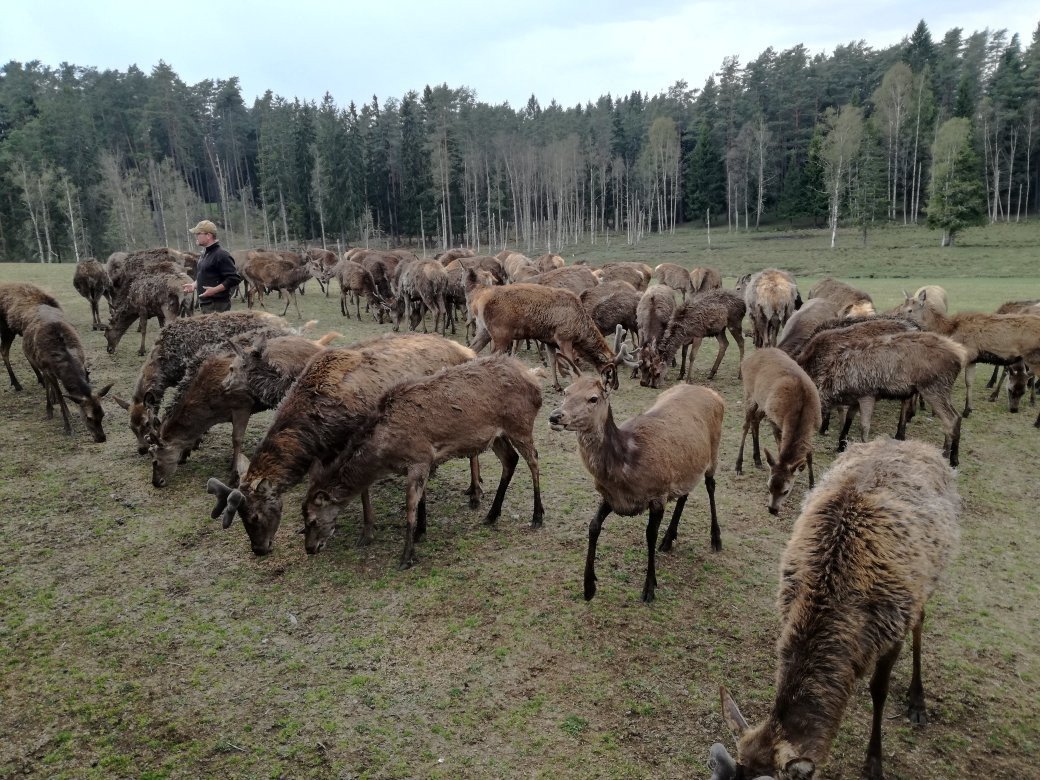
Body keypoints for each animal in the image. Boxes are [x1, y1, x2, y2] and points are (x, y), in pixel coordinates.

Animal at [301, 355, 544, 569]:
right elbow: (422, 499)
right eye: (303, 518)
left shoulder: (419, 458)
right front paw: (421, 532)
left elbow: (410, 505)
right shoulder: (423, 462)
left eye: (312, 520)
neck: (386, 453)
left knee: (533, 461)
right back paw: (492, 515)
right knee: (510, 460)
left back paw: (537, 516)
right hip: (496, 436)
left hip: (520, 424)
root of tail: (534, 378)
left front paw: (406, 556)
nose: (310, 549)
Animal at [544, 355, 723, 603]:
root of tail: (713, 393)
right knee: (685, 493)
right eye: (566, 391)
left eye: (593, 398)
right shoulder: (610, 496)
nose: (555, 416)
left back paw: (715, 538)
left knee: (711, 485)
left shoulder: (658, 493)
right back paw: (669, 539)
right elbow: (593, 526)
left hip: (714, 451)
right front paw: (589, 585)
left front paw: (649, 587)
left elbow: (649, 535)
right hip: (688, 465)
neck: (626, 468)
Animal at [715, 440, 956, 780]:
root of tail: (916, 444)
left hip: (929, 579)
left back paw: (917, 701)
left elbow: (879, 689)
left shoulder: (894, 624)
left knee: (921, 619)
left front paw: (874, 762)